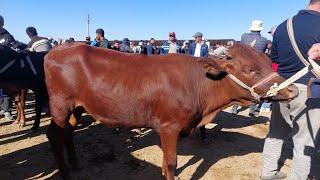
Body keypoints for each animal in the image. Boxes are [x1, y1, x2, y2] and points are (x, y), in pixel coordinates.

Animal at [43, 43, 298, 179]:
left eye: (268, 60)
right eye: (249, 69)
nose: (293, 90)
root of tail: (58, 49)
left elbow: (167, 163)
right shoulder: (168, 127)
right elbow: (171, 163)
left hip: (76, 107)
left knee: (68, 132)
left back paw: (74, 162)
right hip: (60, 104)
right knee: (54, 134)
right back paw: (64, 172)